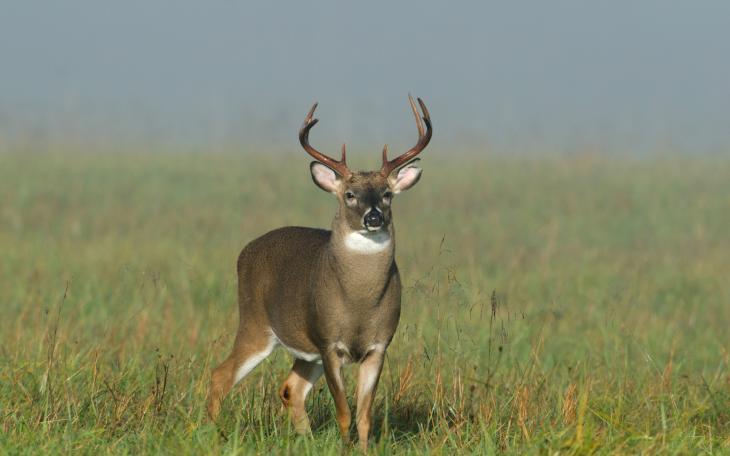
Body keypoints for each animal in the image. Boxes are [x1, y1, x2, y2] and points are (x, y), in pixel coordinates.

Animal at [207, 95, 432, 449]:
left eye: (386, 194)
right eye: (350, 195)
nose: (373, 218)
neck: (359, 303)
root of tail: (244, 252)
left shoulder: (378, 346)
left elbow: (364, 416)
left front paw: (362, 450)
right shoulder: (328, 343)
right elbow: (344, 413)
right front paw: (343, 447)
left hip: (303, 348)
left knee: (290, 389)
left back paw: (305, 439)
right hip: (255, 322)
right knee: (220, 376)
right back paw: (217, 435)